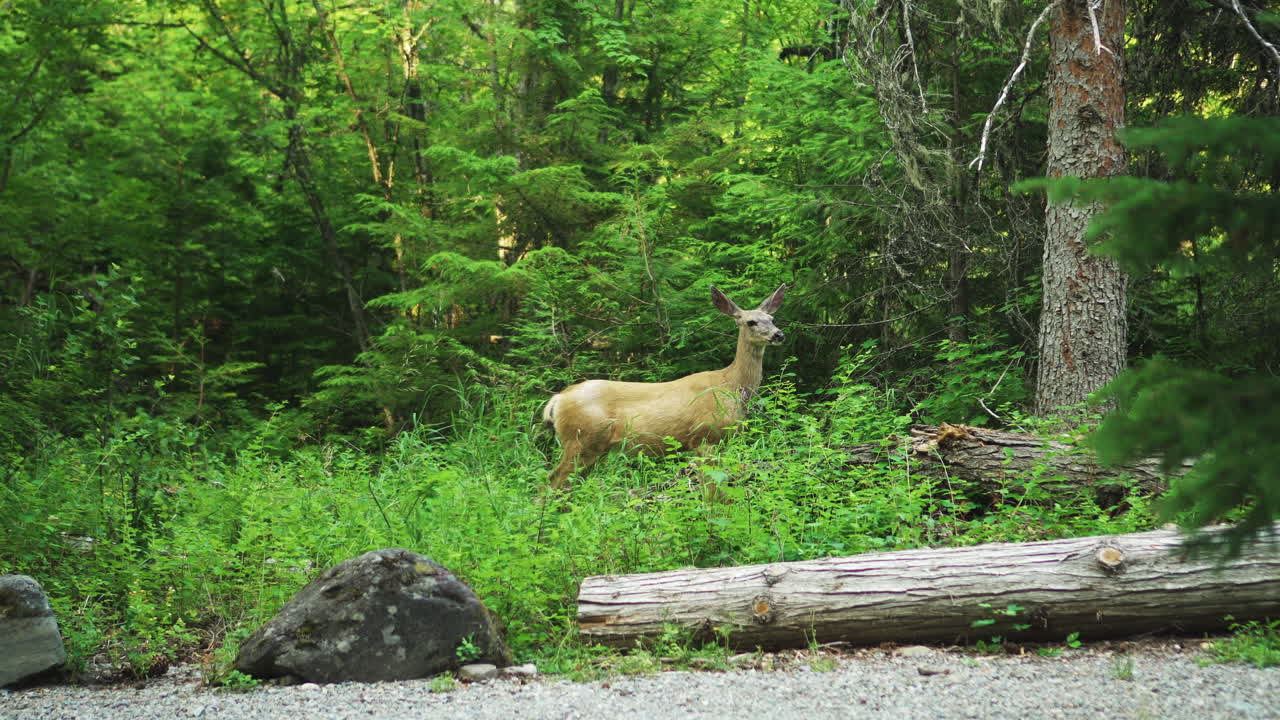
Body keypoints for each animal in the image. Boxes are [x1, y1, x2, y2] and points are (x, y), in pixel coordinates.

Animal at [541, 284, 786, 489]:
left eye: (772, 318)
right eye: (750, 322)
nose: (779, 334)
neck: (730, 384)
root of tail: (558, 399)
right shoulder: (705, 436)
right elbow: (712, 489)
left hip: (591, 447)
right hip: (581, 440)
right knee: (553, 480)